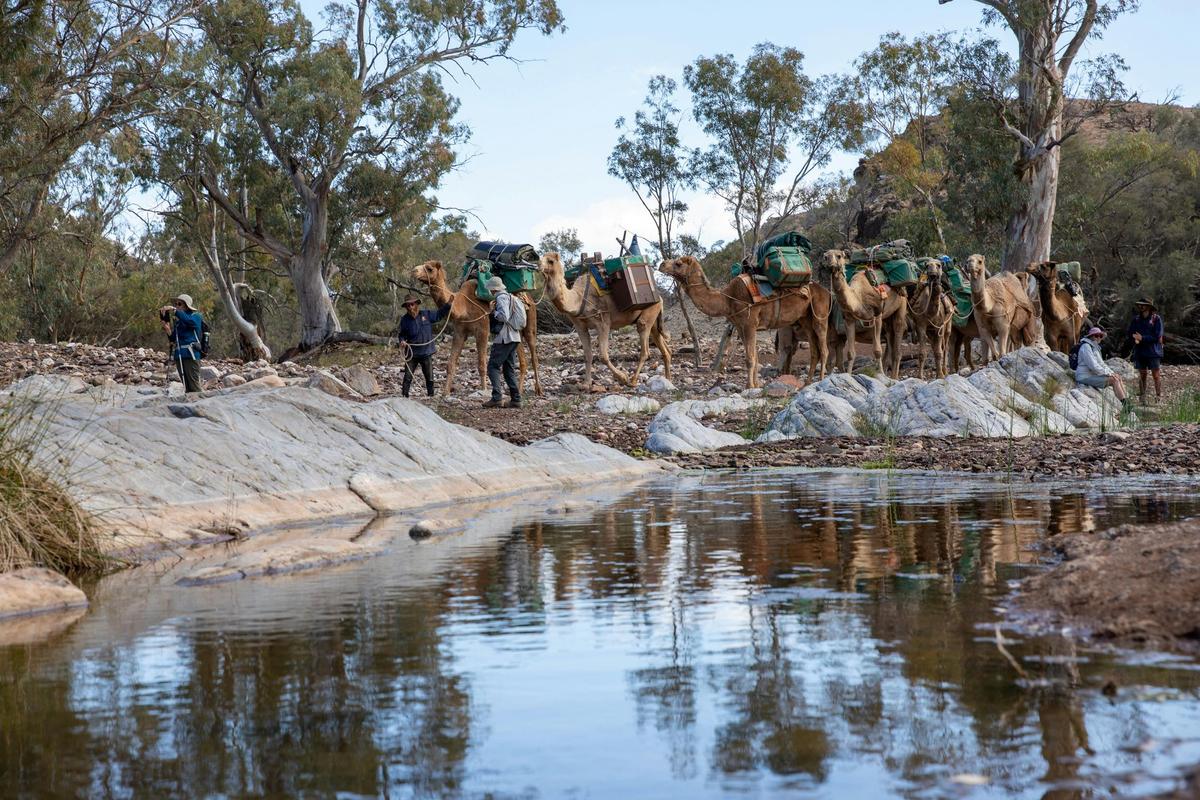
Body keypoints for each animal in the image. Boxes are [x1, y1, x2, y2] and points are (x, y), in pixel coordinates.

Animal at [411, 261, 542, 397]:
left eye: (429, 268)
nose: (414, 271)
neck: (463, 306)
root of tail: (528, 297)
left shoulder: (482, 330)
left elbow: (482, 364)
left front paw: (484, 390)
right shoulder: (459, 332)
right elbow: (451, 364)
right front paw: (445, 393)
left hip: (530, 323)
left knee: (533, 355)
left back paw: (538, 390)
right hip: (516, 331)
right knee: (522, 359)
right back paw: (519, 391)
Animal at [539, 252, 670, 389]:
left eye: (550, 261)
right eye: (539, 258)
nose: (538, 266)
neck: (578, 298)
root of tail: (660, 297)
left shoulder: (603, 322)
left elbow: (603, 356)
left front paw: (622, 378)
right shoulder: (580, 326)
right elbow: (588, 355)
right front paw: (586, 384)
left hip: (649, 313)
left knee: (645, 347)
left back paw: (633, 381)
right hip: (654, 320)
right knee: (665, 348)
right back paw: (667, 379)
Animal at [659, 255, 828, 388]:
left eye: (678, 263)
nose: (661, 264)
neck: (727, 299)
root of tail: (825, 290)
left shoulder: (749, 323)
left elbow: (750, 358)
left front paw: (749, 386)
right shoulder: (741, 326)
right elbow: (754, 356)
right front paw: (757, 385)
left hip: (820, 316)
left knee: (824, 348)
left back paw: (821, 379)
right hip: (805, 320)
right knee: (814, 350)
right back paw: (807, 383)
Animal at [820, 249, 908, 378]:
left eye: (839, 256)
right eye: (825, 257)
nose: (830, 265)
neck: (858, 297)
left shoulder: (877, 315)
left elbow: (877, 350)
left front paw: (881, 374)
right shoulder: (848, 319)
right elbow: (850, 353)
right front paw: (848, 375)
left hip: (901, 304)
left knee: (898, 330)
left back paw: (894, 377)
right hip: (887, 318)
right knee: (889, 335)